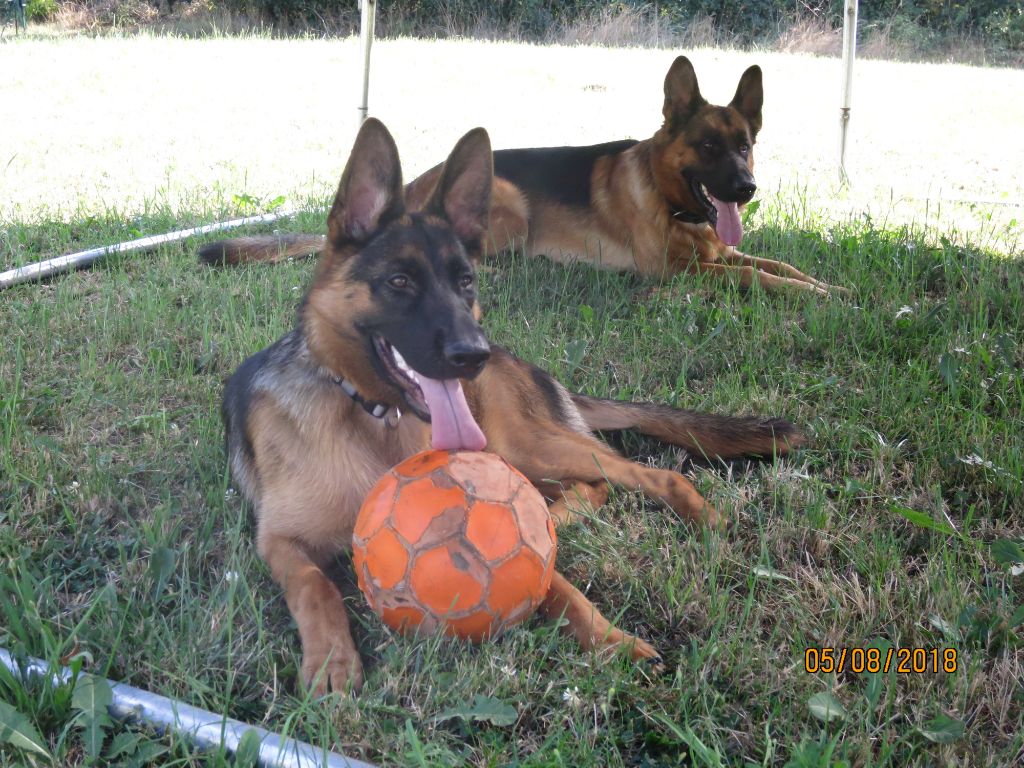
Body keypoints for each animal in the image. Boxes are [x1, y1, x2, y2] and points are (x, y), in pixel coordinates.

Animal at [201, 54, 847, 296]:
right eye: (708, 146)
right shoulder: (678, 274)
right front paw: (817, 294)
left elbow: (780, 265)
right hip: (509, 202)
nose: (746, 190)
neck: (674, 203)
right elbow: (763, 279)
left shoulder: (723, 253)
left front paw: (834, 288)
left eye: (744, 146)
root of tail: (409, 190)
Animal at [205, 118, 798, 696]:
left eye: (465, 281)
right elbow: (315, 585)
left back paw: (691, 517)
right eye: (399, 281)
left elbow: (556, 582)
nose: (474, 356)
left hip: (526, 446)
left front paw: (608, 638)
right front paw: (331, 657)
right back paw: (559, 515)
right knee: (590, 486)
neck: (372, 419)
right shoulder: (279, 541)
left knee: (642, 475)